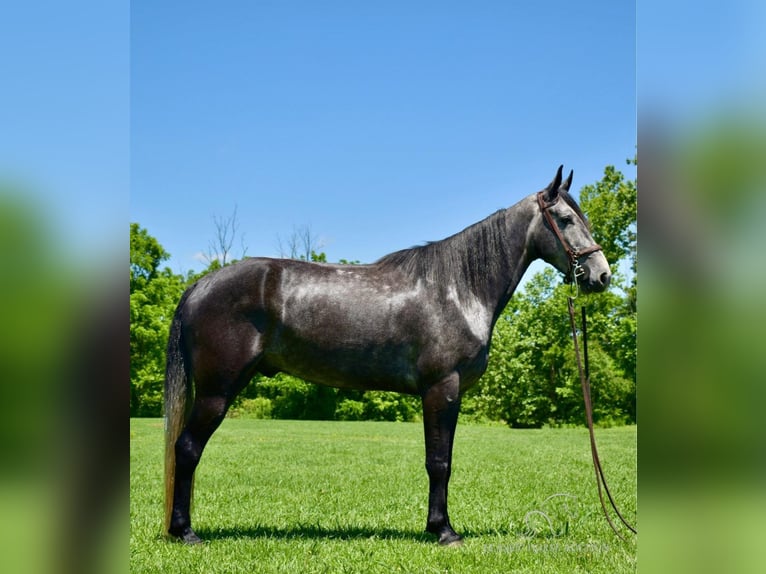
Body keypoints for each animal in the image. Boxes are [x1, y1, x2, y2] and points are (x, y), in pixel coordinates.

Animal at [164, 166, 612, 548]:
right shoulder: (441, 389)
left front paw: (437, 526)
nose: (601, 275)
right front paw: (444, 531)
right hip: (216, 392)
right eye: (566, 220)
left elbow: (443, 460)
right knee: (186, 449)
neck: (457, 288)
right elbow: (439, 462)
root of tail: (199, 286)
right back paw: (184, 532)